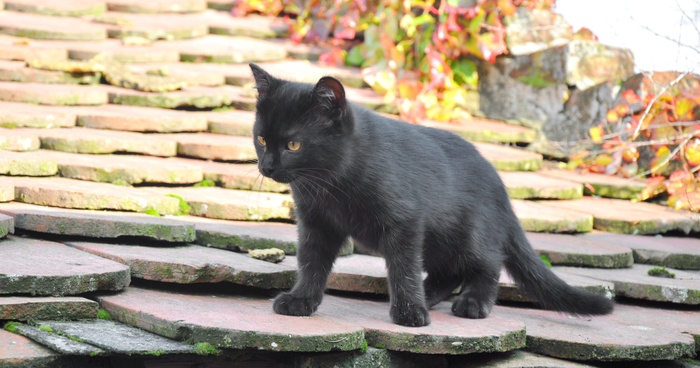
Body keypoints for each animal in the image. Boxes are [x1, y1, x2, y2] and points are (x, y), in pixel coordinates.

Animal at [250, 64, 612, 328]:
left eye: (293, 144)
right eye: (262, 139)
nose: (267, 166)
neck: (330, 184)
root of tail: (500, 186)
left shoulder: (406, 221)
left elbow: (404, 266)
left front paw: (410, 311)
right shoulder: (316, 224)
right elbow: (312, 262)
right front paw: (301, 300)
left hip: (468, 233)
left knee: (488, 262)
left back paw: (472, 303)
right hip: (440, 239)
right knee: (449, 271)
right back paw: (429, 294)